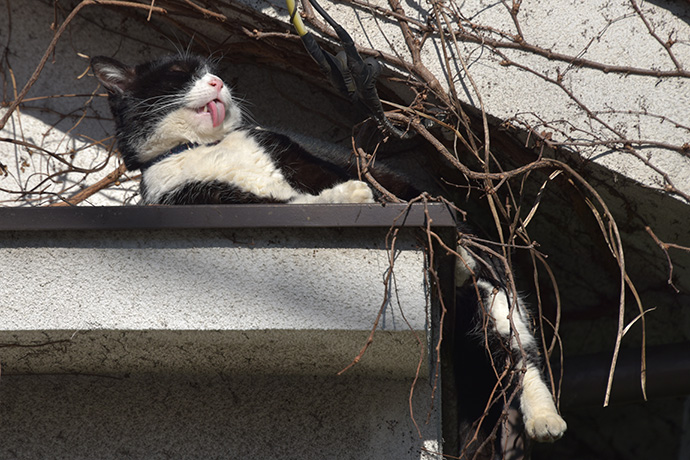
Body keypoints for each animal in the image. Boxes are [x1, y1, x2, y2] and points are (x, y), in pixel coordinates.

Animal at [91, 52, 564, 448]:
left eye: (212, 70)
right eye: (178, 73)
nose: (217, 80)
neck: (210, 148)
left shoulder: (298, 158)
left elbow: (315, 184)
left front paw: (351, 193)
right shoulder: (199, 200)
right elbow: (285, 203)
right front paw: (347, 196)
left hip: (491, 291)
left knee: (518, 350)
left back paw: (545, 418)